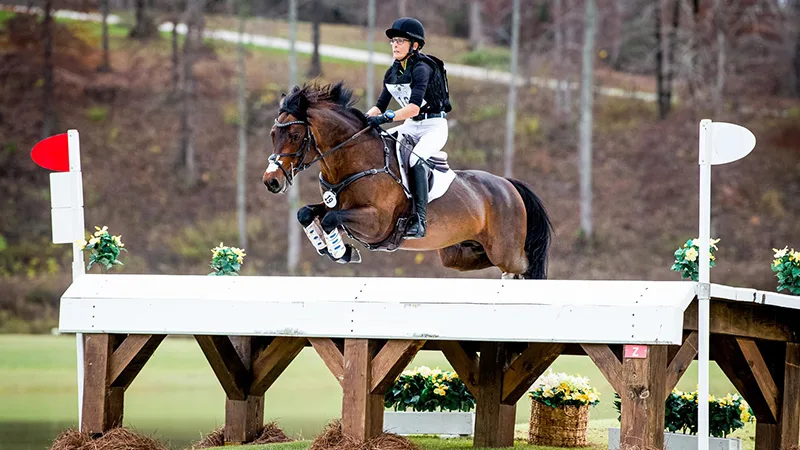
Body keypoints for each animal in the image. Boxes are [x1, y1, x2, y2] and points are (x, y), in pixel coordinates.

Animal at [262, 81, 552, 278]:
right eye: (273, 134)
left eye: (296, 136)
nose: (271, 181)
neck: (356, 161)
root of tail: (508, 185)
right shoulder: (338, 206)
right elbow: (306, 214)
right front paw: (334, 250)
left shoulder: (376, 223)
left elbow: (331, 218)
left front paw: (341, 252)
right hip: (460, 253)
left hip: (505, 250)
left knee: (526, 265)